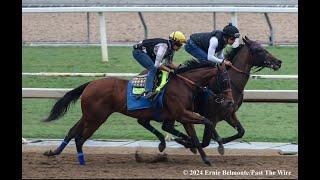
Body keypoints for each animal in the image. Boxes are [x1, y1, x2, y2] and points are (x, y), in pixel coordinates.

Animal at [42, 59, 232, 166]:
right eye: (224, 80)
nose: (230, 101)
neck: (184, 84)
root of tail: (90, 84)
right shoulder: (182, 114)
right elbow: (207, 121)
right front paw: (220, 145)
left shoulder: (184, 117)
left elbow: (195, 136)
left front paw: (206, 158)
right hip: (96, 118)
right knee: (80, 138)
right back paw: (81, 160)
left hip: (89, 116)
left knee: (72, 132)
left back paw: (54, 153)